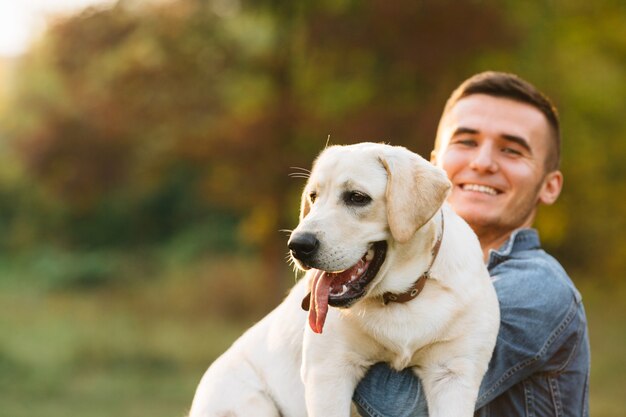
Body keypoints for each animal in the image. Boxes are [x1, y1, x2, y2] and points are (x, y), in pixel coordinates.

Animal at [189, 142, 498, 416]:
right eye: (313, 197)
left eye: (357, 197)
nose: (298, 245)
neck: (400, 298)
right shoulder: (328, 371)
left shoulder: (454, 373)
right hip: (250, 403)